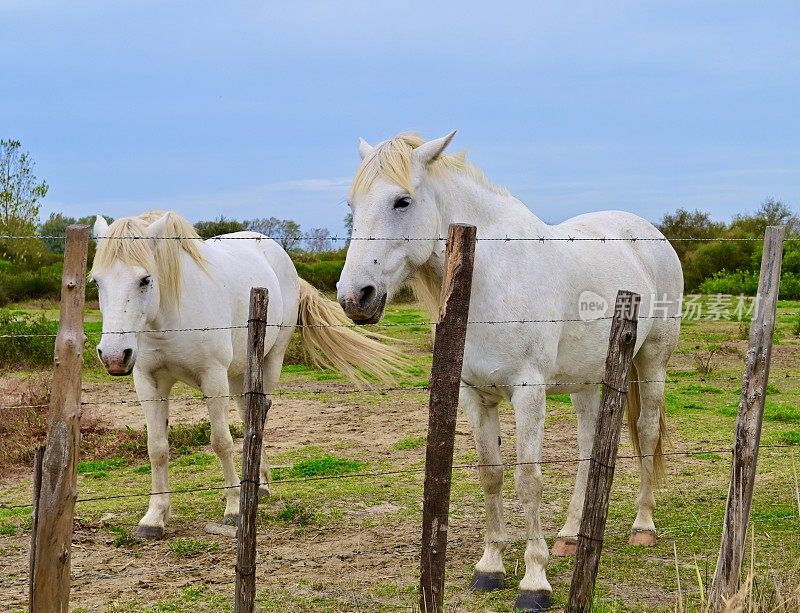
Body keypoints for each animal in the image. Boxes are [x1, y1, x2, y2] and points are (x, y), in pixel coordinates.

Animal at [92, 210, 406, 536]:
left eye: (145, 280)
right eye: (97, 282)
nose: (114, 356)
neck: (169, 319)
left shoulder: (213, 378)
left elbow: (220, 442)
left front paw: (233, 508)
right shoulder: (148, 383)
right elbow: (157, 448)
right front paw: (154, 517)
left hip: (270, 359)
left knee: (260, 413)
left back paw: (260, 485)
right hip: (239, 372)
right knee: (248, 416)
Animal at [338, 131, 680, 608]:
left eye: (402, 201)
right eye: (353, 204)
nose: (355, 297)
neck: (489, 280)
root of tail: (649, 233)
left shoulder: (528, 392)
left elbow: (528, 480)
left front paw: (534, 582)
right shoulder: (474, 395)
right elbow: (492, 476)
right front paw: (490, 567)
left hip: (652, 360)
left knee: (647, 432)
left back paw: (643, 526)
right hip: (586, 380)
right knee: (588, 447)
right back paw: (571, 535)